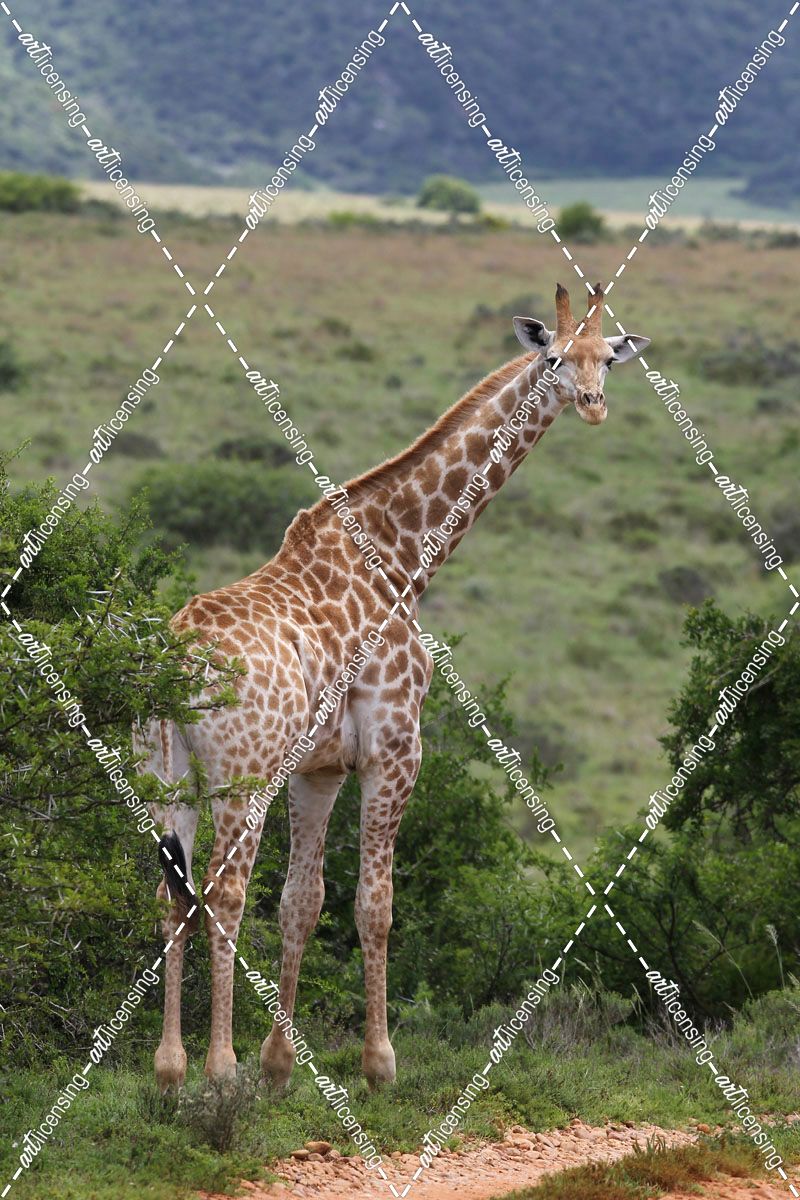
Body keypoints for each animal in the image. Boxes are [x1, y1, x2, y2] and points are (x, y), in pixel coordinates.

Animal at [140, 282, 649, 1092]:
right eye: (557, 359)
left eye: (608, 358)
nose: (594, 405)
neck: (402, 556)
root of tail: (173, 661)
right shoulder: (393, 748)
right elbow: (373, 906)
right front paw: (380, 1063)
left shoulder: (316, 770)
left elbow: (304, 901)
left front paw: (281, 1064)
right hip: (238, 778)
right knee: (222, 892)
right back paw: (219, 1070)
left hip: (169, 776)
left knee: (174, 894)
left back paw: (170, 1068)